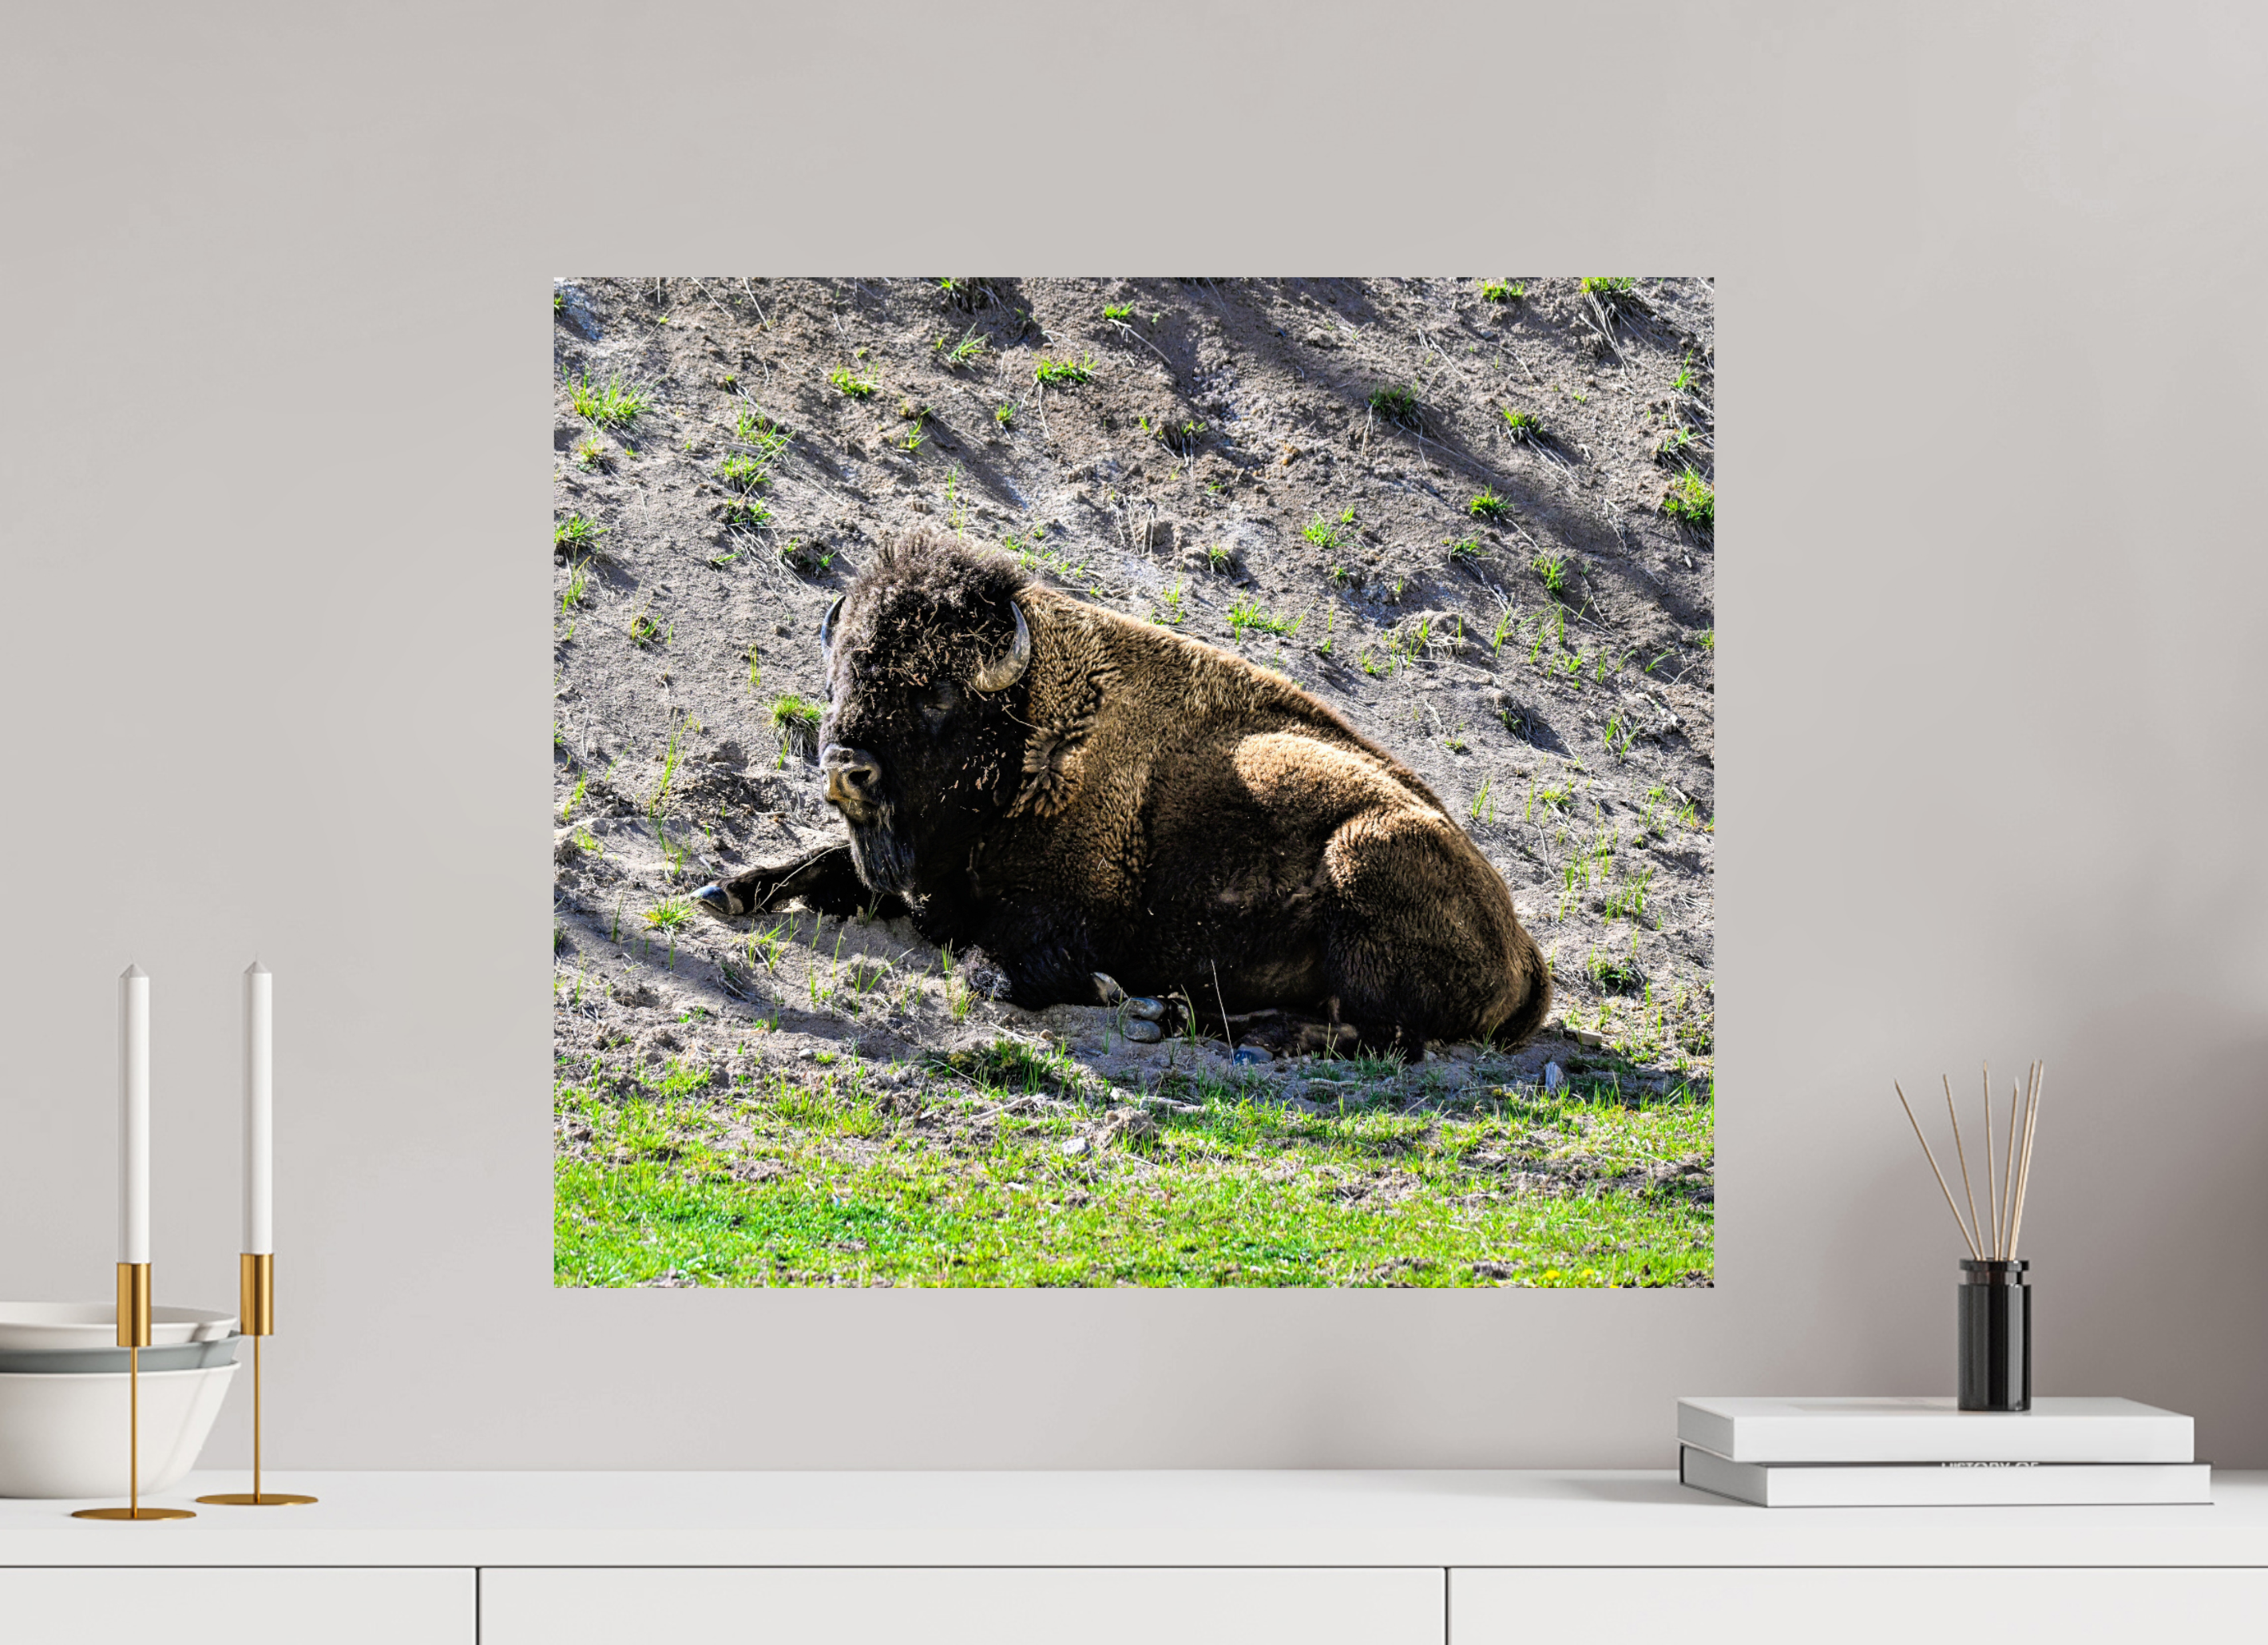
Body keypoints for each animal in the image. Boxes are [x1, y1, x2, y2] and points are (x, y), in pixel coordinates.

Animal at [696, 530, 1549, 1054]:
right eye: (838, 675)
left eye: (937, 692)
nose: (845, 764)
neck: (1027, 733)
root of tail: (1527, 951)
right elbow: (819, 866)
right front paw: (724, 888)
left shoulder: (1058, 921)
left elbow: (990, 966)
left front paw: (1111, 992)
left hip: (1361, 857)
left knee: (1378, 1034)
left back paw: (1217, 1024)